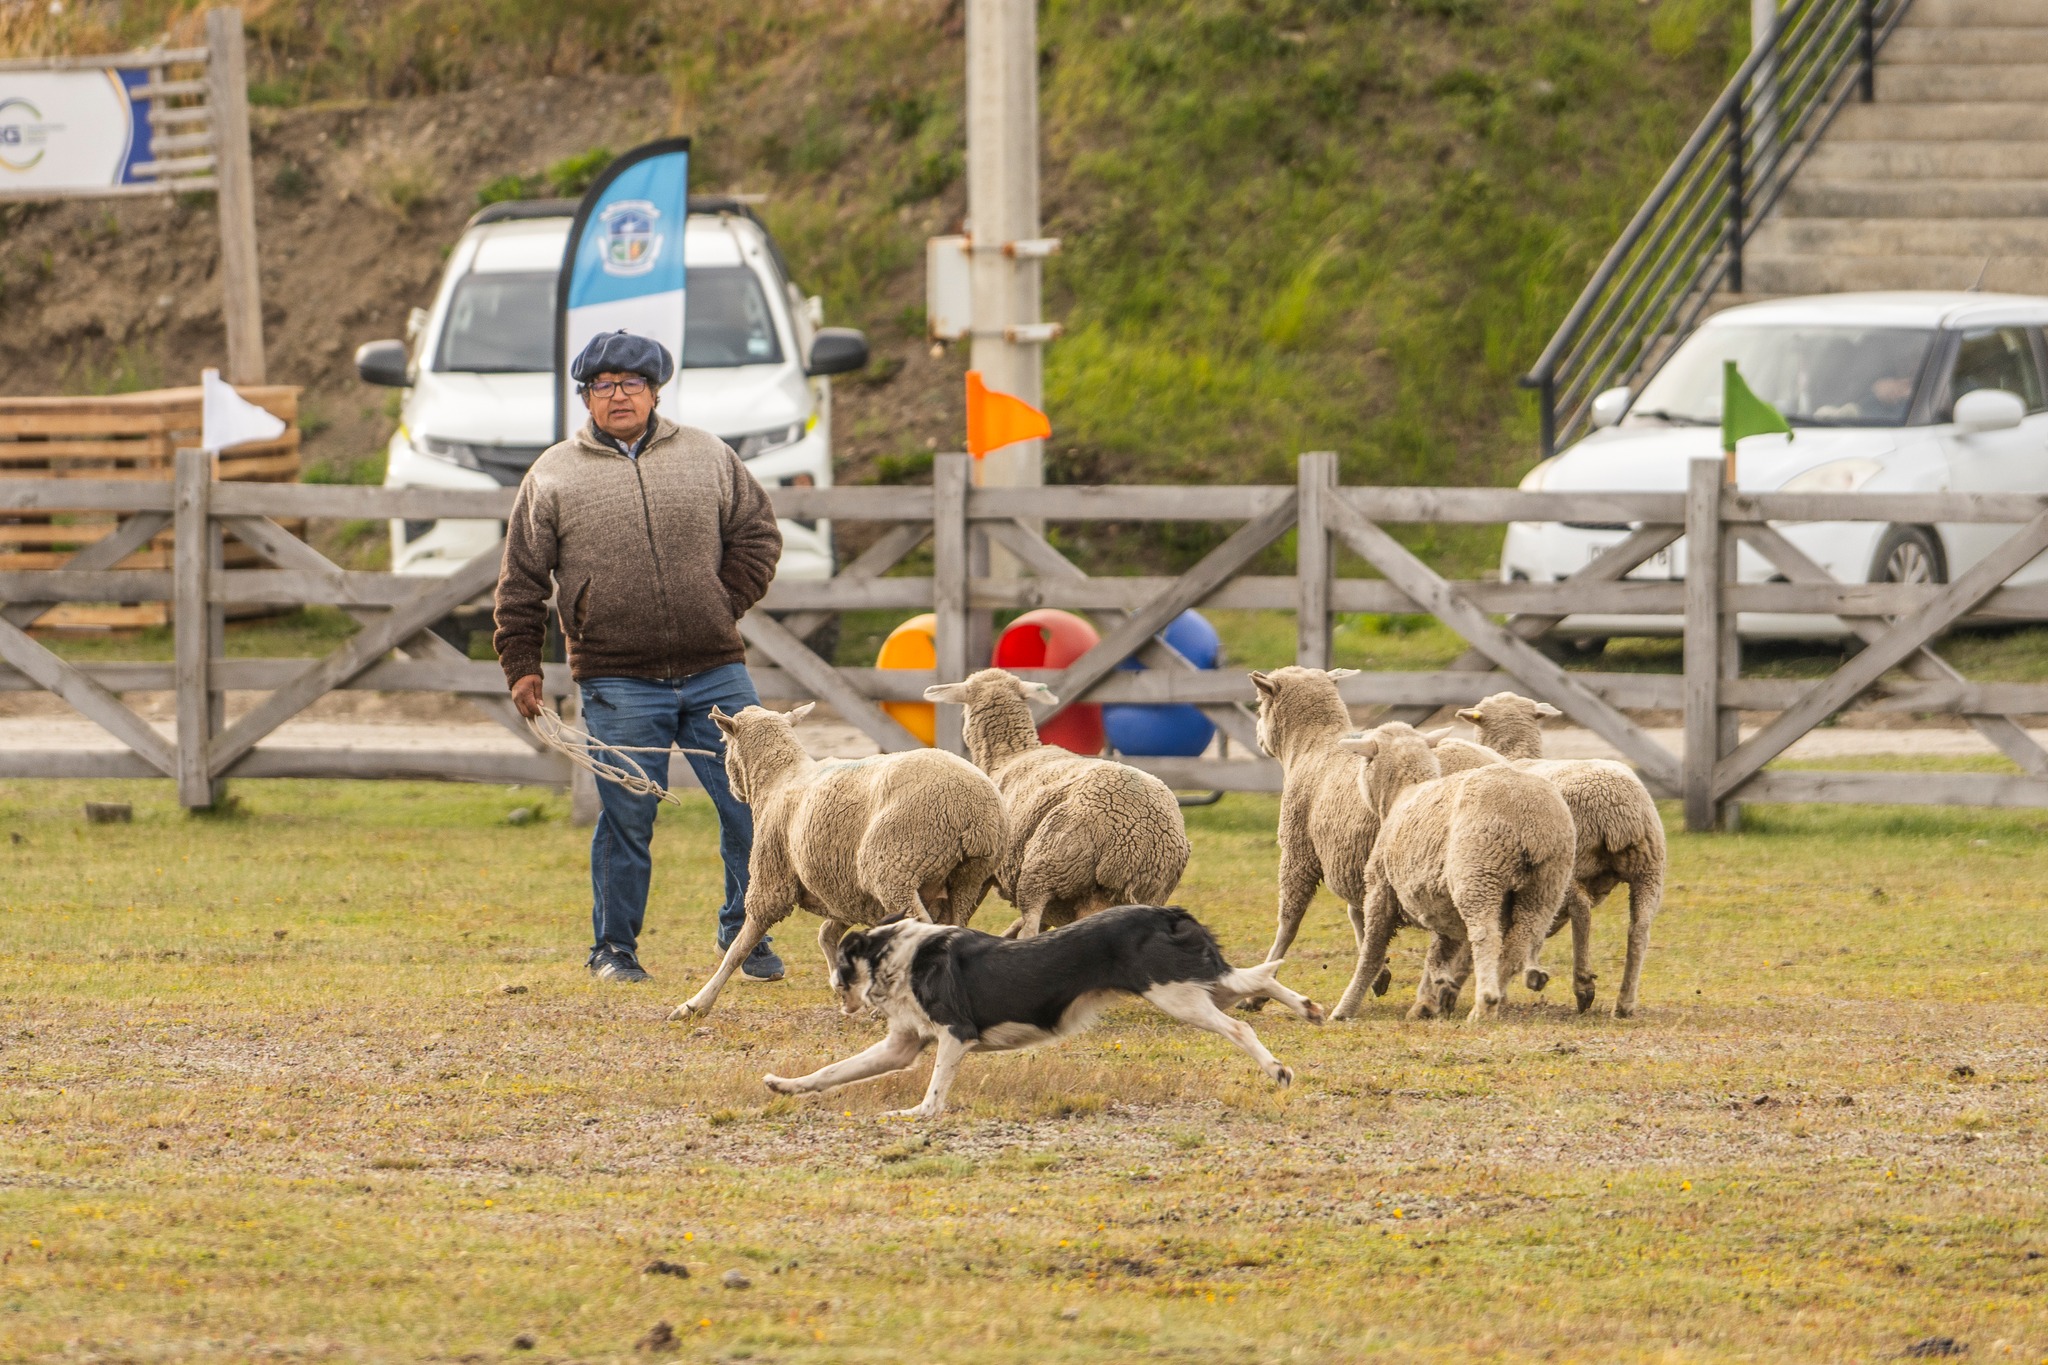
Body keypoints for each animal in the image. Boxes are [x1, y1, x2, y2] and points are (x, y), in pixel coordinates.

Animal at [675, 712, 1003, 1019]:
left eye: (723, 743)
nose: (732, 790)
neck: (780, 779)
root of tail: (975, 810)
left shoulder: (773, 880)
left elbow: (739, 948)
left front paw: (695, 1004)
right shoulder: (843, 886)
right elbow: (827, 933)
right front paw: (844, 987)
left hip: (895, 867)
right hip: (967, 882)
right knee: (955, 929)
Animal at [761, 908, 1318, 1121]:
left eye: (839, 959)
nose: (835, 988)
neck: (896, 956)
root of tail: (1165, 913)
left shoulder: (955, 1034)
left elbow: (935, 1092)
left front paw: (918, 1114)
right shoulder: (901, 1046)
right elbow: (832, 1071)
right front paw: (784, 1085)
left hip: (1177, 996)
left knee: (1241, 1023)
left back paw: (1278, 1070)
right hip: (1192, 986)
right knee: (1259, 981)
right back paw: (1309, 1009)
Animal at [925, 663, 1196, 941]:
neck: (1010, 755)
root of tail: (1134, 839)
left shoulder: (986, 868)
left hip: (1046, 863)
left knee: (1031, 923)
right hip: (1144, 893)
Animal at [1327, 724, 1564, 1023]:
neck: (1404, 792)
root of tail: (1530, 818)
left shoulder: (1380, 890)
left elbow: (1372, 954)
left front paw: (1343, 1009)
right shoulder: (1442, 904)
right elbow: (1440, 952)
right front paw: (1431, 998)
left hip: (1479, 872)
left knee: (1486, 936)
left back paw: (1485, 1003)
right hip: (1546, 886)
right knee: (1518, 944)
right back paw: (1491, 1001)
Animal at [1449, 695, 1671, 1015]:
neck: (1517, 755)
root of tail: (1615, 806)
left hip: (1570, 865)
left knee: (1582, 909)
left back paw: (1583, 985)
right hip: (1649, 869)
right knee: (1639, 928)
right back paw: (1624, 1003)